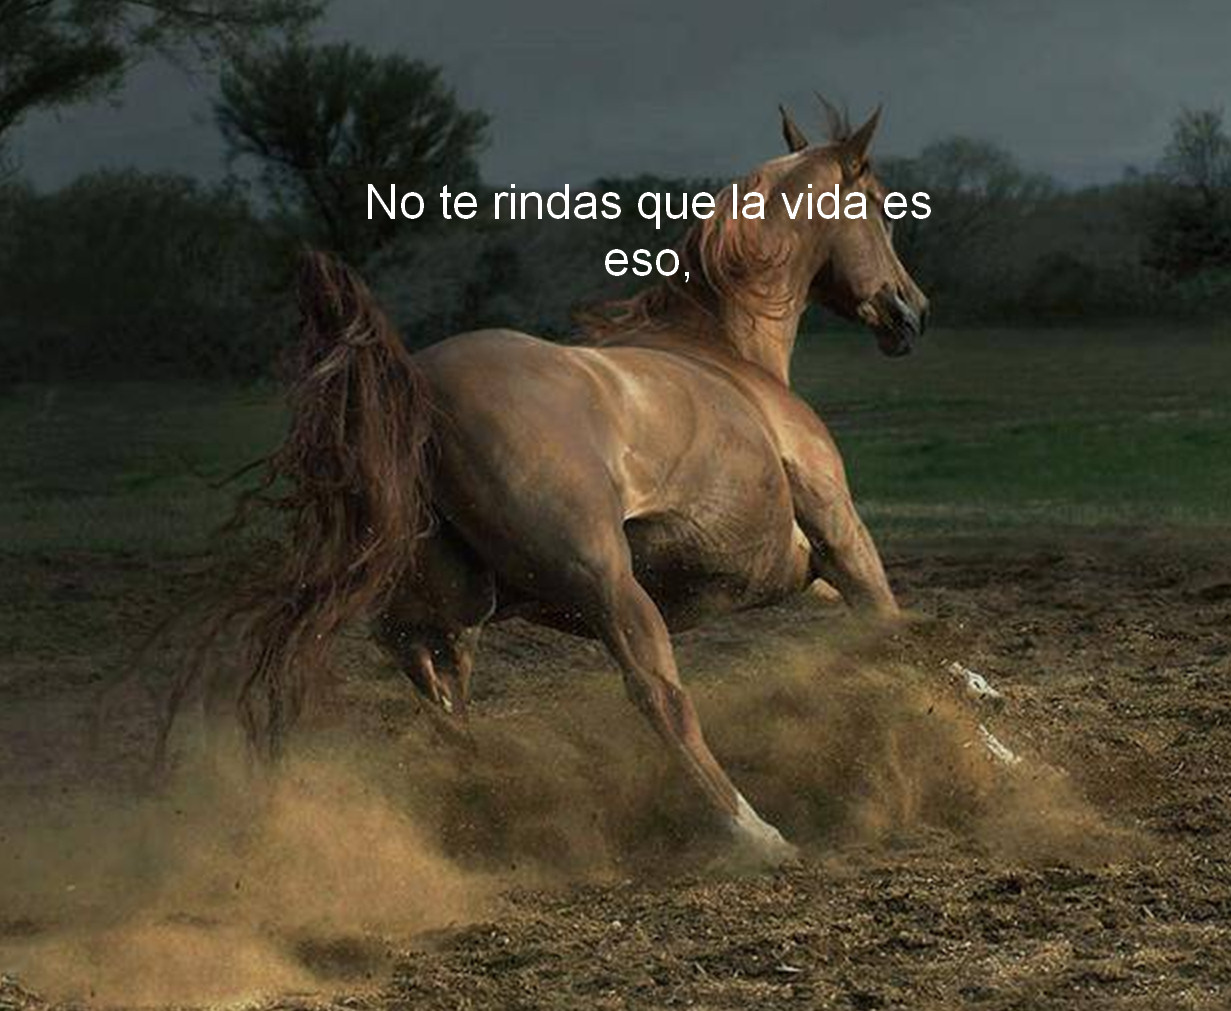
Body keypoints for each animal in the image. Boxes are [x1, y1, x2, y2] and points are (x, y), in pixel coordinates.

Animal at [227, 101, 928, 865]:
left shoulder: (806, 566)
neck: (729, 355)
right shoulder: (839, 530)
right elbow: (896, 630)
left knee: (437, 693)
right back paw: (755, 833)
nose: (911, 311)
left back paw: (486, 806)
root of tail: (416, 386)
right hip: (605, 587)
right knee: (658, 697)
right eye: (882, 206)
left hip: (453, 602)